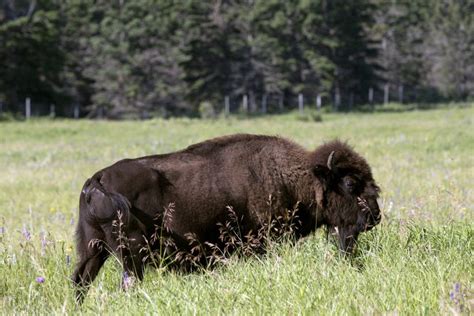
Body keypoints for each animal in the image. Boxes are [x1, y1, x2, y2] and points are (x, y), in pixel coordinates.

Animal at [71, 133, 382, 302]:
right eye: (351, 183)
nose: (375, 216)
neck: (296, 177)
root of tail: (97, 179)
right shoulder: (262, 242)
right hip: (130, 253)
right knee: (126, 283)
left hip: (93, 249)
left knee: (80, 281)